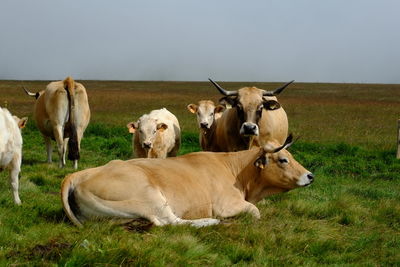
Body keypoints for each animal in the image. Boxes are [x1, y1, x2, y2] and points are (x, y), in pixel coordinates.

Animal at [61, 136, 314, 228]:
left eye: (291, 157)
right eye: (283, 160)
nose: (310, 175)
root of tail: (77, 175)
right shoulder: (226, 204)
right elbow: (255, 212)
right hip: (149, 195)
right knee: (169, 222)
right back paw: (210, 222)